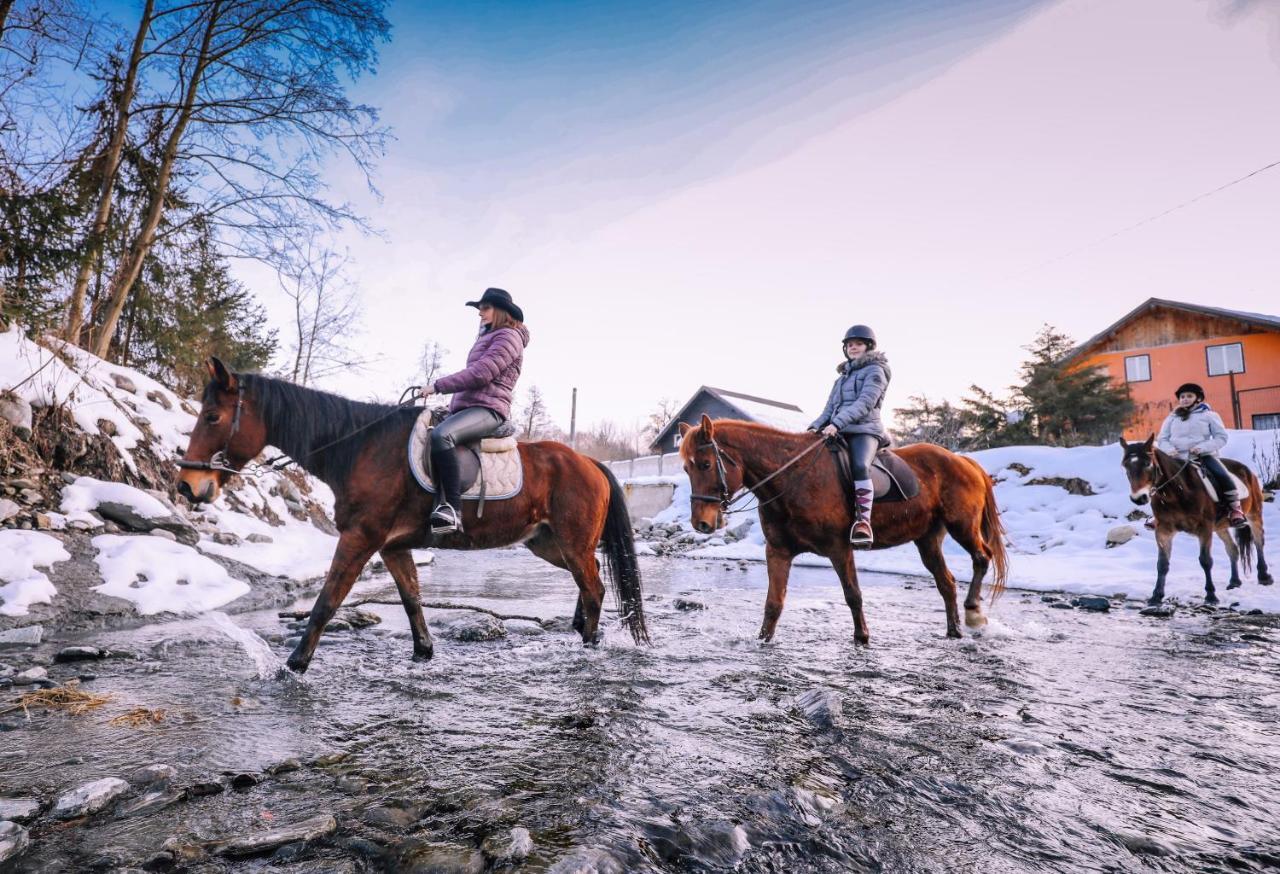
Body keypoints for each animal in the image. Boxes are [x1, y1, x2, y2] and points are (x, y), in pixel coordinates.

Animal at [177, 358, 650, 675]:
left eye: (213, 416)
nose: (186, 486)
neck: (360, 447)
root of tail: (589, 462)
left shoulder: (360, 538)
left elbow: (327, 602)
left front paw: (293, 666)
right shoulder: (392, 546)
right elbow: (411, 600)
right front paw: (423, 653)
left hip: (570, 542)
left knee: (594, 588)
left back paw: (588, 647)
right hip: (549, 544)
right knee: (589, 580)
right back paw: (581, 630)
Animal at [680, 417, 1008, 642]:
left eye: (706, 464)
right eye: (686, 468)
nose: (701, 523)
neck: (792, 477)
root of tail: (963, 461)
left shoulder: (839, 549)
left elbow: (853, 595)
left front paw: (862, 638)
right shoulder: (778, 551)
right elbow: (773, 604)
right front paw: (763, 640)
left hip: (961, 526)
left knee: (981, 558)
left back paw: (973, 612)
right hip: (927, 539)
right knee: (946, 583)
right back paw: (954, 630)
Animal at [1121, 437, 1269, 609]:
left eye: (1147, 463)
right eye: (1125, 465)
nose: (1138, 498)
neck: (1177, 492)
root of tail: (1247, 470)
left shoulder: (1204, 529)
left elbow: (1205, 561)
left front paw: (1211, 596)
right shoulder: (1163, 530)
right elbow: (1162, 564)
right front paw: (1156, 596)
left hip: (1254, 514)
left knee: (1259, 542)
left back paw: (1264, 577)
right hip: (1220, 527)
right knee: (1232, 549)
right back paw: (1234, 582)